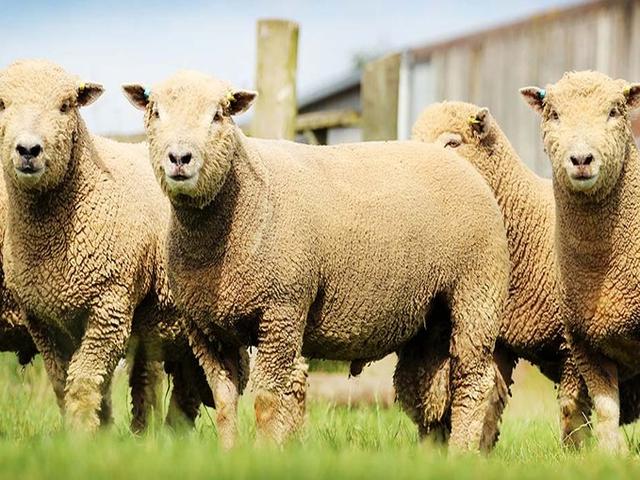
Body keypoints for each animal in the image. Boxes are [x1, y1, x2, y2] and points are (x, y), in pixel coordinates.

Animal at [0, 60, 232, 434]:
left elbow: (83, 382)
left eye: (65, 106)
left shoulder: (110, 306)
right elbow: (65, 384)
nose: (28, 150)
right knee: (169, 386)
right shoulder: (43, 321)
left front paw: (82, 437)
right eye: (2, 105)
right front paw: (93, 434)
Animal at [122, 69, 511, 451]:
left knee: (474, 382)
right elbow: (224, 402)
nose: (179, 157)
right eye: (155, 112)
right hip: (431, 317)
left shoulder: (281, 310)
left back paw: (460, 453)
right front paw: (229, 453)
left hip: (477, 292)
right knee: (429, 389)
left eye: (219, 115)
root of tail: (461, 166)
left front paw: (261, 455)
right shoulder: (205, 328)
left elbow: (267, 399)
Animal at [410, 101, 591, 447]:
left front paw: (582, 454)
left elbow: (573, 413)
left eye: (452, 143)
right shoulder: (499, 342)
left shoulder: (573, 343)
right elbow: (490, 405)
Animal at [520, 70, 640, 453]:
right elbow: (605, 411)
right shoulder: (586, 342)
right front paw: (610, 456)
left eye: (614, 111)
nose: (582, 159)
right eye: (554, 114)